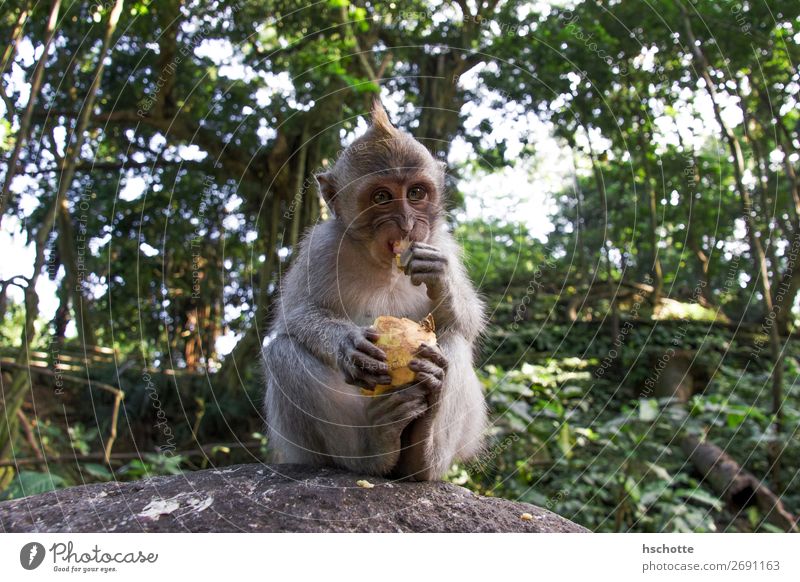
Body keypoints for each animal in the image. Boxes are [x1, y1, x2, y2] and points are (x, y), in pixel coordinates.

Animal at [262, 101, 488, 484]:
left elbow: (469, 322)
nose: (407, 224)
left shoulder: (442, 244)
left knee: (452, 339)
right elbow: (296, 317)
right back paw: (374, 449)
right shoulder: (320, 248)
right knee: (282, 352)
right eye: (382, 197)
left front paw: (439, 277)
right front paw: (348, 344)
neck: (385, 265)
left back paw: (422, 453)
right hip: (307, 446)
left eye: (416, 193)